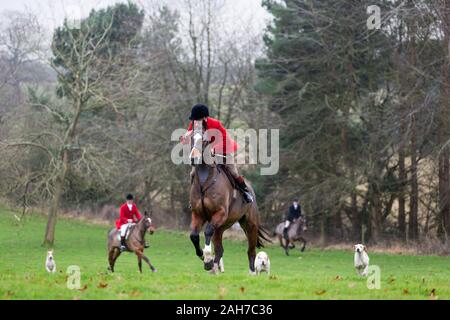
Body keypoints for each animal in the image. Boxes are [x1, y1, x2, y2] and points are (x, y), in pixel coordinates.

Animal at [187, 133, 268, 276]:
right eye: (191, 138)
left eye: (204, 141)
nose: (193, 158)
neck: (204, 182)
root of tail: (251, 189)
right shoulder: (198, 214)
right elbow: (194, 236)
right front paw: (203, 257)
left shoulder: (220, 212)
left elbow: (207, 231)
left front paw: (207, 257)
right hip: (221, 227)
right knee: (220, 250)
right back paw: (213, 268)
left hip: (250, 225)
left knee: (251, 251)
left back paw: (252, 273)